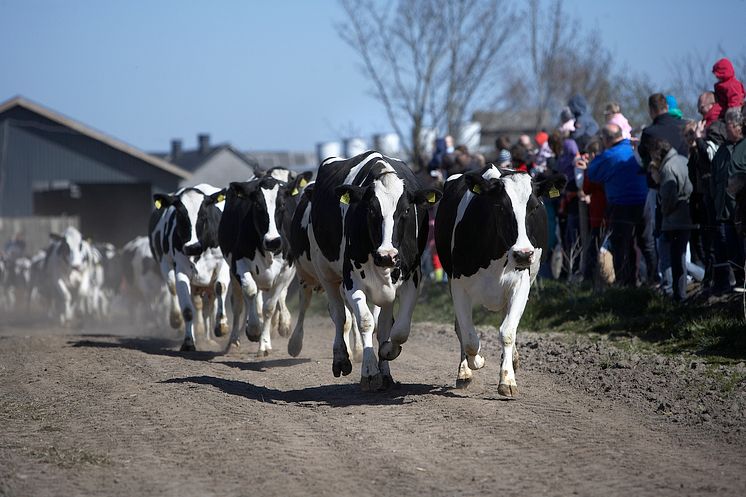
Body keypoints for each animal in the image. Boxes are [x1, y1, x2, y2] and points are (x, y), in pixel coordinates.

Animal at [149, 184, 228, 350]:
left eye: (203, 215)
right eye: (181, 216)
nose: (192, 247)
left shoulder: (222, 263)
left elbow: (220, 287)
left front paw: (221, 326)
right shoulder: (181, 269)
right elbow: (187, 310)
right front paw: (188, 342)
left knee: (209, 303)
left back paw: (208, 339)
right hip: (166, 264)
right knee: (175, 288)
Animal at [306, 149, 438, 390]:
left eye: (406, 210)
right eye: (371, 210)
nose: (387, 255)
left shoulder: (412, 278)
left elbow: (399, 329)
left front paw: (387, 351)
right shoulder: (351, 281)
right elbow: (365, 321)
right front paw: (369, 372)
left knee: (383, 324)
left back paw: (385, 371)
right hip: (325, 271)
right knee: (339, 315)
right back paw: (341, 359)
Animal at [430, 165, 564, 398]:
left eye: (534, 207)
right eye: (500, 207)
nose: (523, 254)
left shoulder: (521, 284)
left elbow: (507, 332)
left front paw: (507, 380)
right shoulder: (458, 285)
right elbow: (469, 337)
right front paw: (475, 363)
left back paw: (512, 359)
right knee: (461, 330)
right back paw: (464, 372)